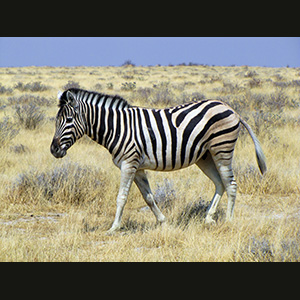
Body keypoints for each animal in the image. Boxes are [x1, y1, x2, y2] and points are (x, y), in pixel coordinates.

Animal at [51, 88, 268, 233]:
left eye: (68, 120)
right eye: (56, 120)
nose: (53, 150)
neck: (117, 127)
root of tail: (231, 108)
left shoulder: (128, 163)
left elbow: (121, 197)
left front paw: (113, 227)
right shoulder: (137, 167)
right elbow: (149, 197)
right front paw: (163, 221)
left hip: (222, 149)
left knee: (231, 184)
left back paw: (229, 221)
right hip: (205, 156)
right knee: (220, 183)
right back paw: (208, 218)